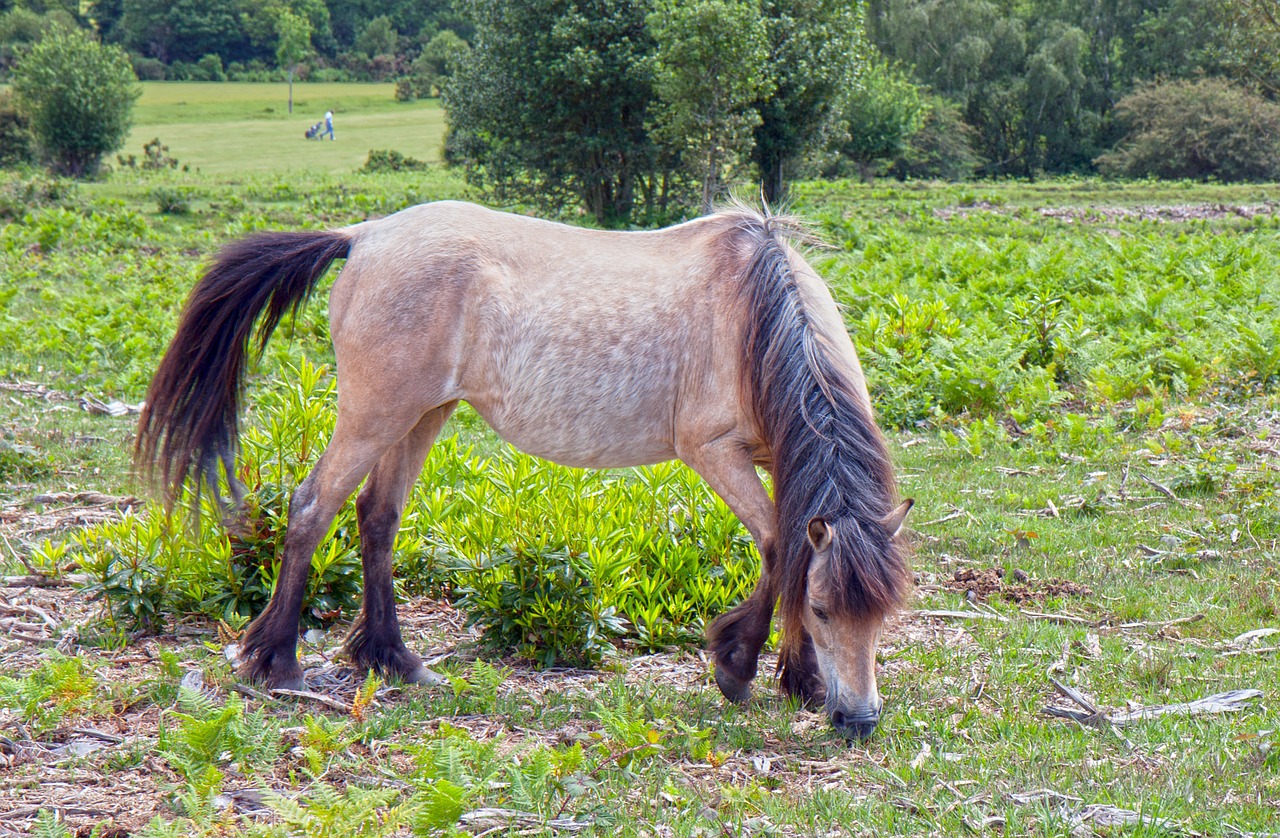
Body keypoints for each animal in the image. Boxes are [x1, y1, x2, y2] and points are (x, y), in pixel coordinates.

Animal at [137, 203, 911, 742]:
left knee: (376, 519)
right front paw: (737, 667)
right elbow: (780, 551)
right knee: (310, 508)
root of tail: (366, 234)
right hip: (374, 413)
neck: (754, 316)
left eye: (883, 614)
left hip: (424, 412)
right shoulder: (715, 452)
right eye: (824, 610)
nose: (860, 722)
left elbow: (791, 552)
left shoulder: (779, 463)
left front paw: (797, 678)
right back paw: (276, 661)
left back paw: (394, 659)